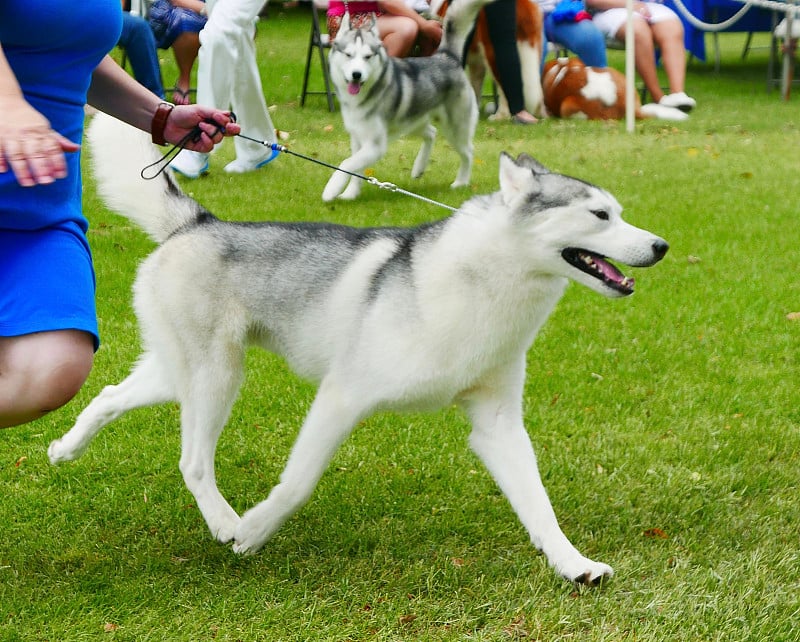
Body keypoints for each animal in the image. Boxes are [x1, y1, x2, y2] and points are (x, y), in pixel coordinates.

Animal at [50, 115, 668, 584]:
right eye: (600, 215)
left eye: (617, 212)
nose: (661, 246)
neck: (488, 284)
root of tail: (198, 224)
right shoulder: (341, 397)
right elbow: (297, 485)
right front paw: (254, 531)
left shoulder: (498, 424)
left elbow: (540, 506)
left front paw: (574, 564)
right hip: (216, 377)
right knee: (193, 460)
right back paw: (225, 522)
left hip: (181, 373)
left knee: (109, 393)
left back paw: (64, 449)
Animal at [322, 0, 490, 201]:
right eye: (348, 55)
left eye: (367, 57)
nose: (357, 74)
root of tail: (446, 57)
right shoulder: (358, 139)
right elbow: (355, 170)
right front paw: (350, 193)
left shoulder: (375, 146)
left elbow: (346, 164)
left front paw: (332, 189)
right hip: (411, 121)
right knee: (431, 132)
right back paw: (419, 167)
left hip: (455, 129)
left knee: (468, 152)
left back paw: (461, 182)